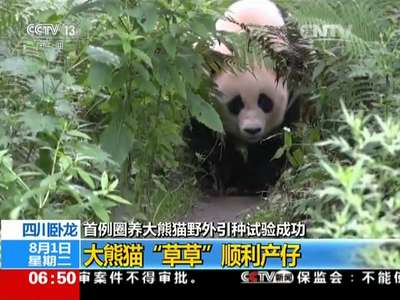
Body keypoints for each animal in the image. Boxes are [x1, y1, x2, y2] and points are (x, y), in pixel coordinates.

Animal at [186, 0, 298, 195]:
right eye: (235, 104)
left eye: (265, 102)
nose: (252, 130)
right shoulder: (202, 90)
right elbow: (207, 136)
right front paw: (217, 179)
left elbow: (278, 141)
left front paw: (252, 183)